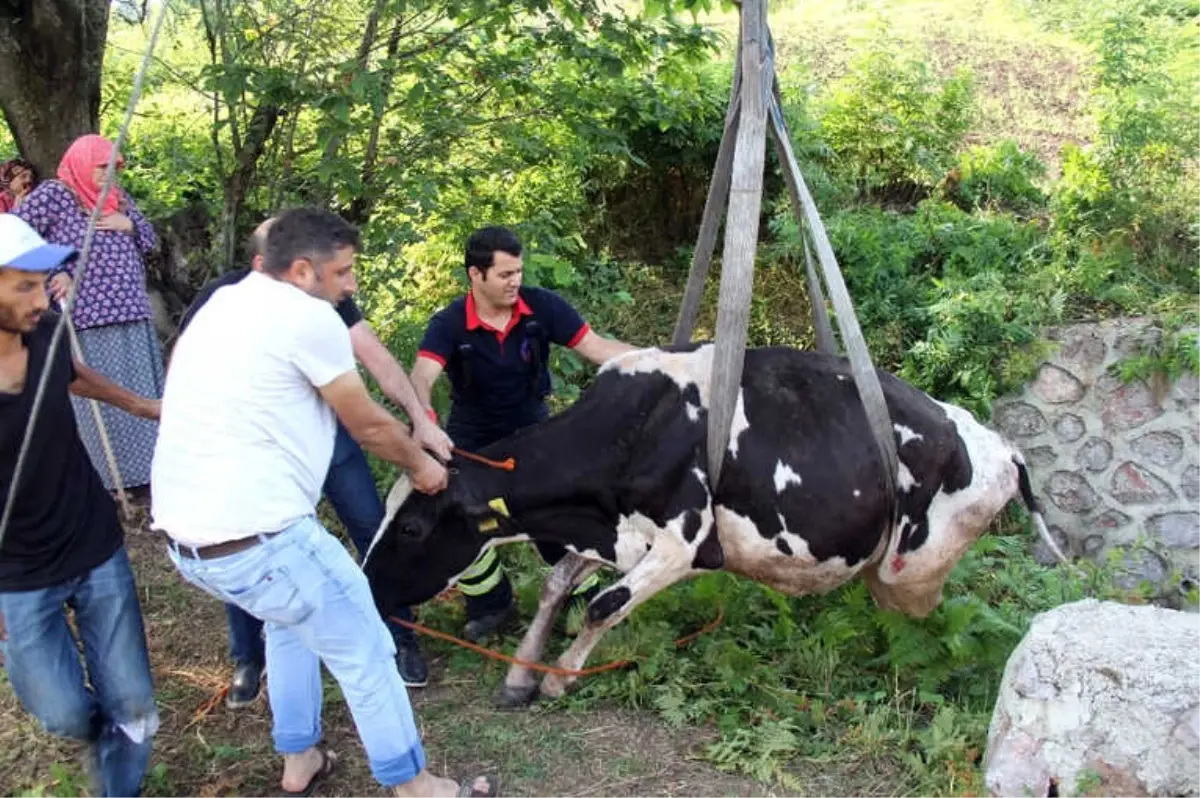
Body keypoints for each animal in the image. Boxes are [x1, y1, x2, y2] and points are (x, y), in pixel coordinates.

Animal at [360, 345, 1065, 705]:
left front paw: (560, 678)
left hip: (914, 567)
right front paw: (521, 673)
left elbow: (603, 605)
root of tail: (1002, 444)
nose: (368, 588)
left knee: (936, 627)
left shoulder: (684, 543)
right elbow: (560, 586)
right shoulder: (619, 534)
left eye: (413, 529)